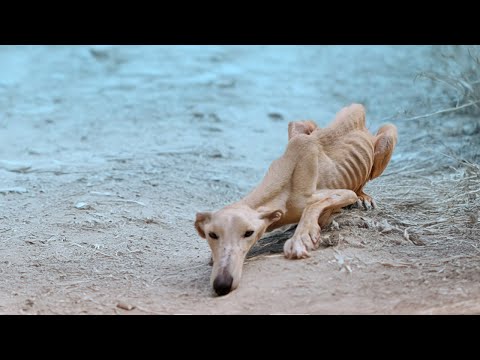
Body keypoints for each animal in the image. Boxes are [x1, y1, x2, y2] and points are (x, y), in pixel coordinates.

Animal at [195, 103, 398, 296]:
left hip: (387, 138)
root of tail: (358, 109)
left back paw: (363, 197)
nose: (222, 285)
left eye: (248, 233)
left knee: (362, 184)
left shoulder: (339, 194)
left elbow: (318, 205)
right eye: (212, 234)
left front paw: (301, 239)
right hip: (297, 125)